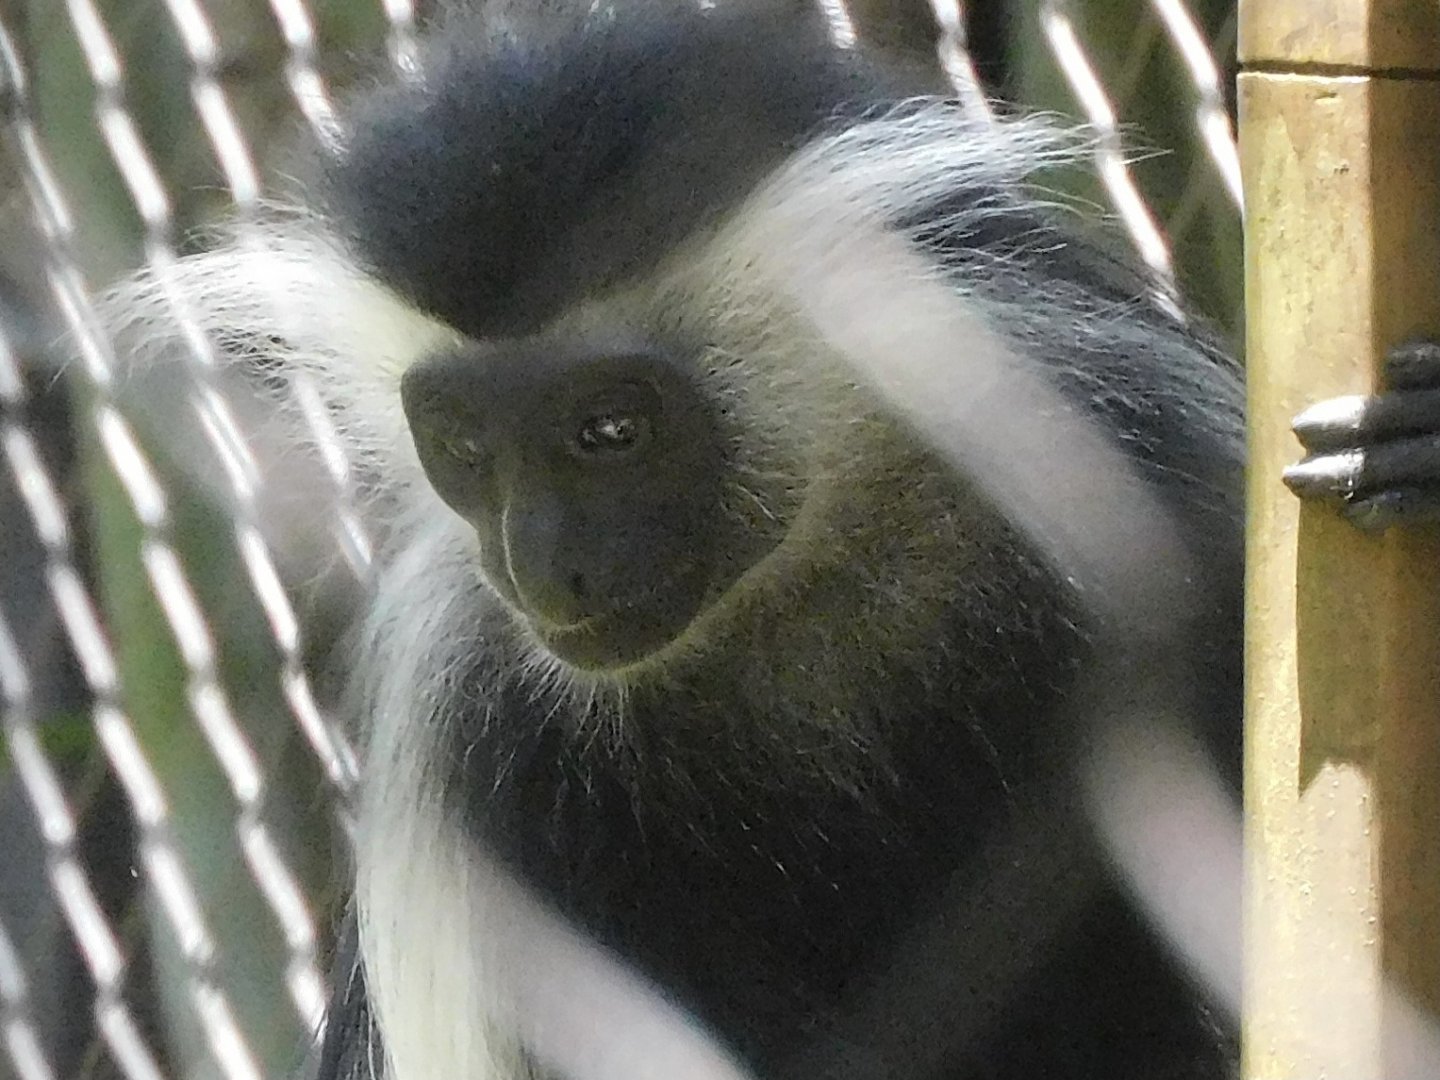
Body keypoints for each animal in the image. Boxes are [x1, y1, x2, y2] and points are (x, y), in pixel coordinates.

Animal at [112, 1, 1248, 1077]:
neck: (809, 581)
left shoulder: (1134, 465)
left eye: (611, 431)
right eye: (465, 445)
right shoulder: (472, 728)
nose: (546, 571)